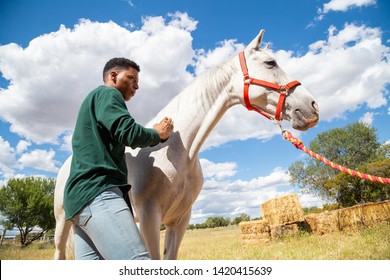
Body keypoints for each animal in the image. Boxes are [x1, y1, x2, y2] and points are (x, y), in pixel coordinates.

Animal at [53, 29, 318, 260]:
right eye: (270, 63)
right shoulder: (149, 217)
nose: (312, 106)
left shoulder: (179, 219)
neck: (179, 151)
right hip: (62, 224)